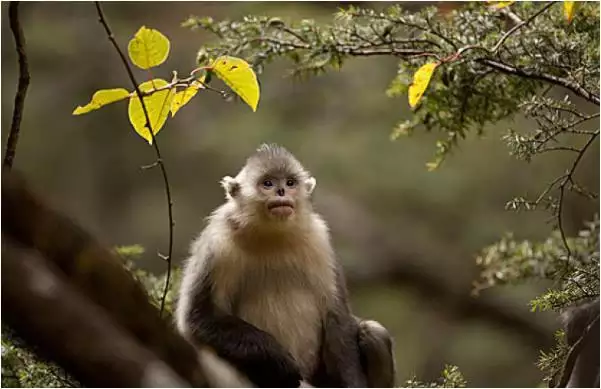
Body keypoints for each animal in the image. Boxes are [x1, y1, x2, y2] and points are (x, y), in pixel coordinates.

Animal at [176, 144, 396, 386]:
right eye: (268, 183)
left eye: (290, 183)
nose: (281, 191)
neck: (273, 236)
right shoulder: (217, 245)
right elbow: (198, 319)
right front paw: (278, 359)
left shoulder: (320, 241)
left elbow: (336, 317)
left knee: (373, 333)